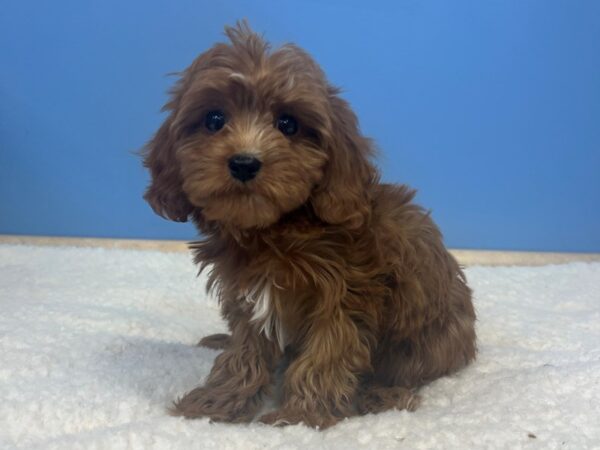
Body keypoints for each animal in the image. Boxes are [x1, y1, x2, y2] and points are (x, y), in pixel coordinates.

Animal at [143, 22, 476, 428]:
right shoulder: (250, 297)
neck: (275, 228)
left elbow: (325, 355)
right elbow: (246, 352)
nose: (244, 162)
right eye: (214, 120)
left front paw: (300, 416)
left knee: (410, 372)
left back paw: (383, 394)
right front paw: (217, 402)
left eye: (288, 124)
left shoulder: (343, 296)